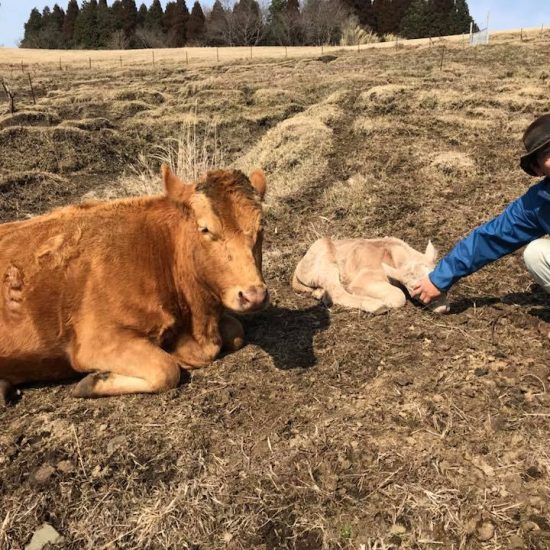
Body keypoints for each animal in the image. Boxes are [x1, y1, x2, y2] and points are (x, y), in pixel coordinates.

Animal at [0, 166, 270, 404]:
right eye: (205, 229)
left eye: (261, 227)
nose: (253, 295)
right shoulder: (96, 342)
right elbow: (166, 370)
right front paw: (90, 382)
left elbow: (236, 331)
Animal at [292, 236, 450, 314]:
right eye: (415, 290)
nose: (444, 309)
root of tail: (301, 263)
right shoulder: (364, 279)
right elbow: (398, 296)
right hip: (325, 259)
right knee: (337, 292)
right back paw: (375, 305)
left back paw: (319, 293)